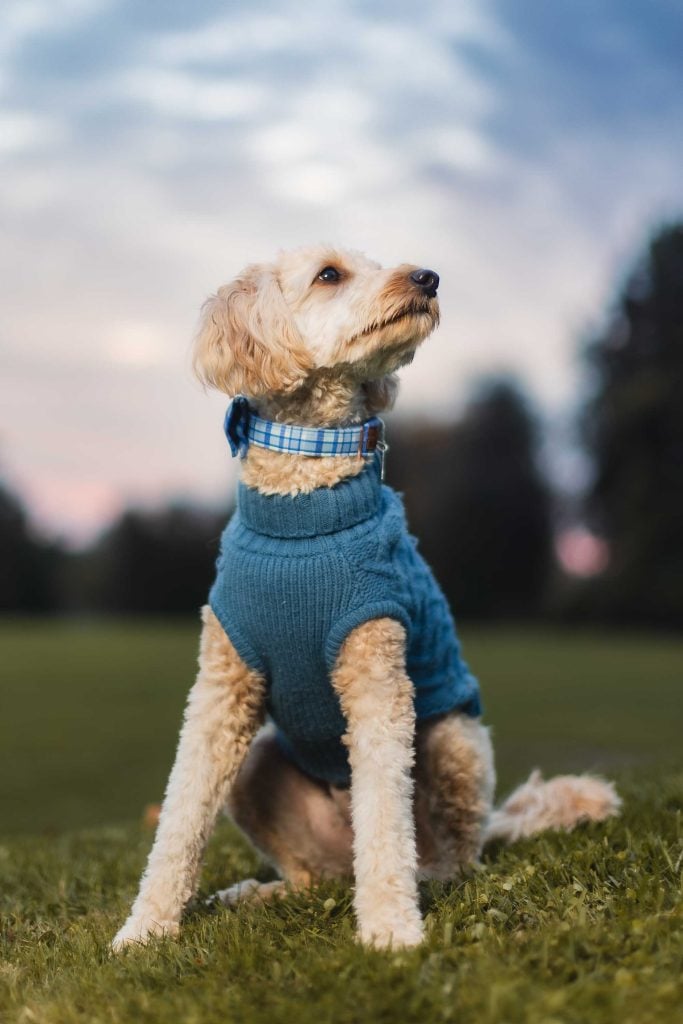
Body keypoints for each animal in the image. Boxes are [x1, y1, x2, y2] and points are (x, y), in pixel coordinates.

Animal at [112, 247, 618, 950]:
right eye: (330, 274)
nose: (429, 278)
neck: (303, 504)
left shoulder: (378, 678)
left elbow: (385, 816)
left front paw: (390, 932)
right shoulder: (220, 691)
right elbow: (180, 816)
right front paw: (145, 930)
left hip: (454, 739)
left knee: (449, 857)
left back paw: (422, 882)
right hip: (259, 767)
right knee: (313, 877)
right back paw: (256, 893)